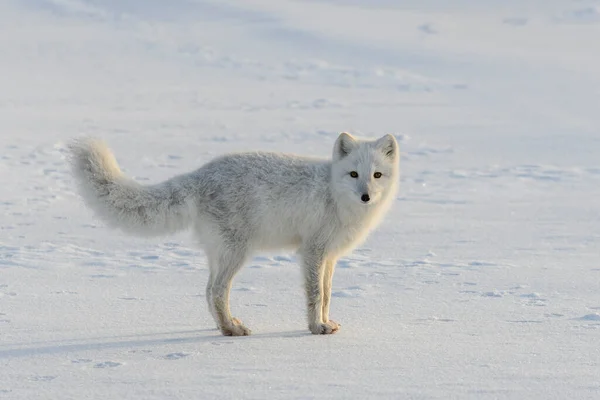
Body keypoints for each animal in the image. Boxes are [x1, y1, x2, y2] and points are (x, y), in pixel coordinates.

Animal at [69, 133, 398, 336]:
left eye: (377, 175)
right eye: (353, 174)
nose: (366, 197)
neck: (334, 194)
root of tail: (201, 173)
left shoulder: (329, 256)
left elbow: (327, 294)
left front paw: (326, 322)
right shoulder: (312, 252)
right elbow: (316, 294)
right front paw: (316, 328)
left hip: (220, 253)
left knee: (207, 290)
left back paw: (225, 326)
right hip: (237, 252)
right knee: (216, 291)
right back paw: (232, 330)